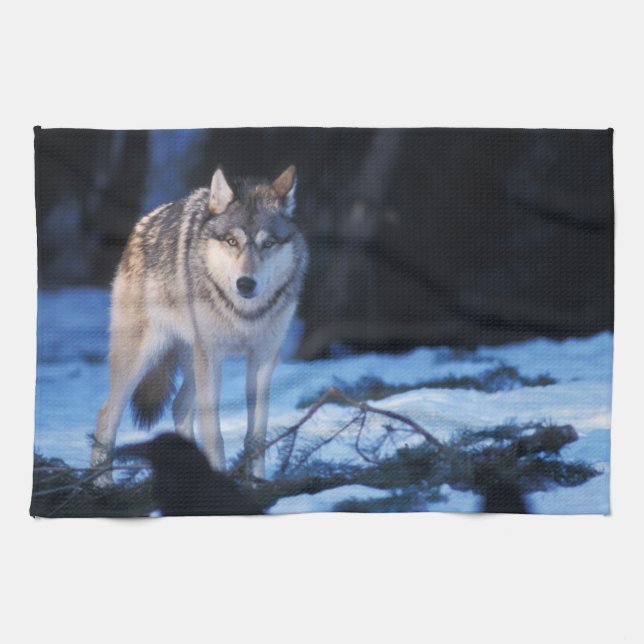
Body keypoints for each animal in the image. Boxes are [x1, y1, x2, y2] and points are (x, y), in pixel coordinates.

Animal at [91, 165, 308, 483]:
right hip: (145, 357)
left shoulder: (263, 359)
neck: (244, 313)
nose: (245, 283)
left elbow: (256, 436)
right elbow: (213, 434)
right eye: (232, 242)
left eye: (267, 244)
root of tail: (144, 221)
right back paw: (102, 485)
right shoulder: (212, 355)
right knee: (106, 415)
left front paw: (257, 484)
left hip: (192, 362)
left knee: (179, 406)